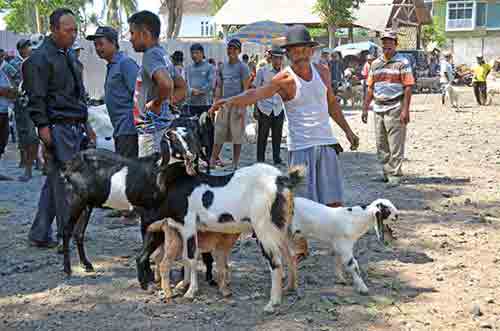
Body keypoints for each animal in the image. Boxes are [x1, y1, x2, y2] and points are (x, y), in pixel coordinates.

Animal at [135, 163, 302, 314]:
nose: (147, 228)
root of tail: (281, 180)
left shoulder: (189, 226)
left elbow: (191, 258)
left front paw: (191, 292)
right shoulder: (183, 230)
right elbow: (186, 257)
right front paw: (184, 285)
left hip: (264, 230)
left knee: (275, 262)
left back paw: (273, 303)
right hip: (281, 229)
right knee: (290, 255)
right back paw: (289, 287)